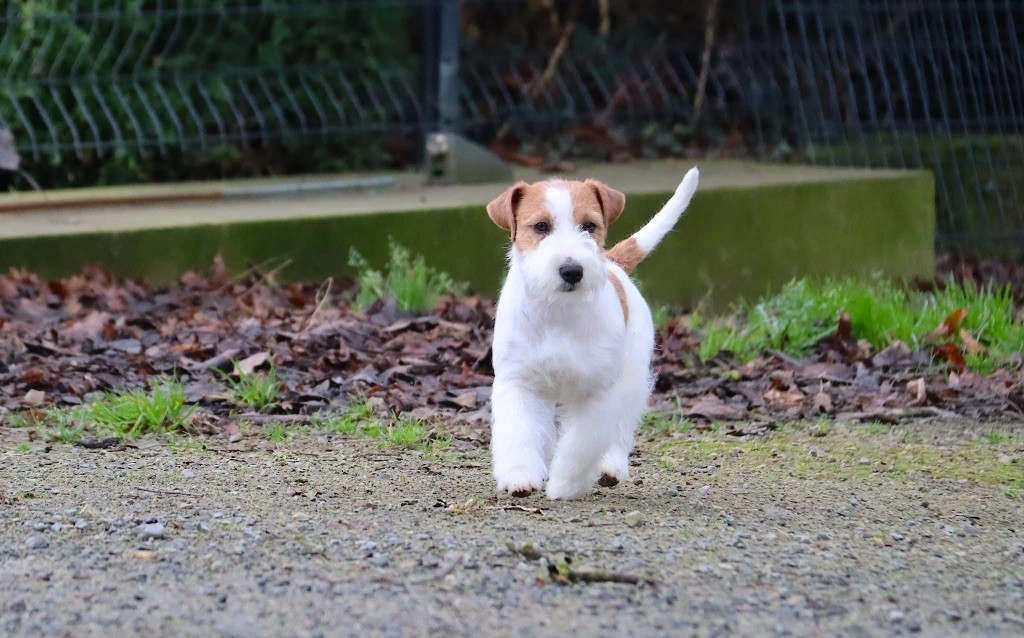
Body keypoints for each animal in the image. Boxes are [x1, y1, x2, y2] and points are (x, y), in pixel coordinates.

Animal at [483, 166, 700, 501]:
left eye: (589, 225)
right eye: (541, 226)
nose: (572, 270)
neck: (559, 313)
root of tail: (613, 262)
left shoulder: (596, 391)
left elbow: (582, 444)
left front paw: (565, 483)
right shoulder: (518, 382)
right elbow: (519, 432)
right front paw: (520, 475)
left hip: (631, 380)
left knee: (620, 429)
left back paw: (610, 468)